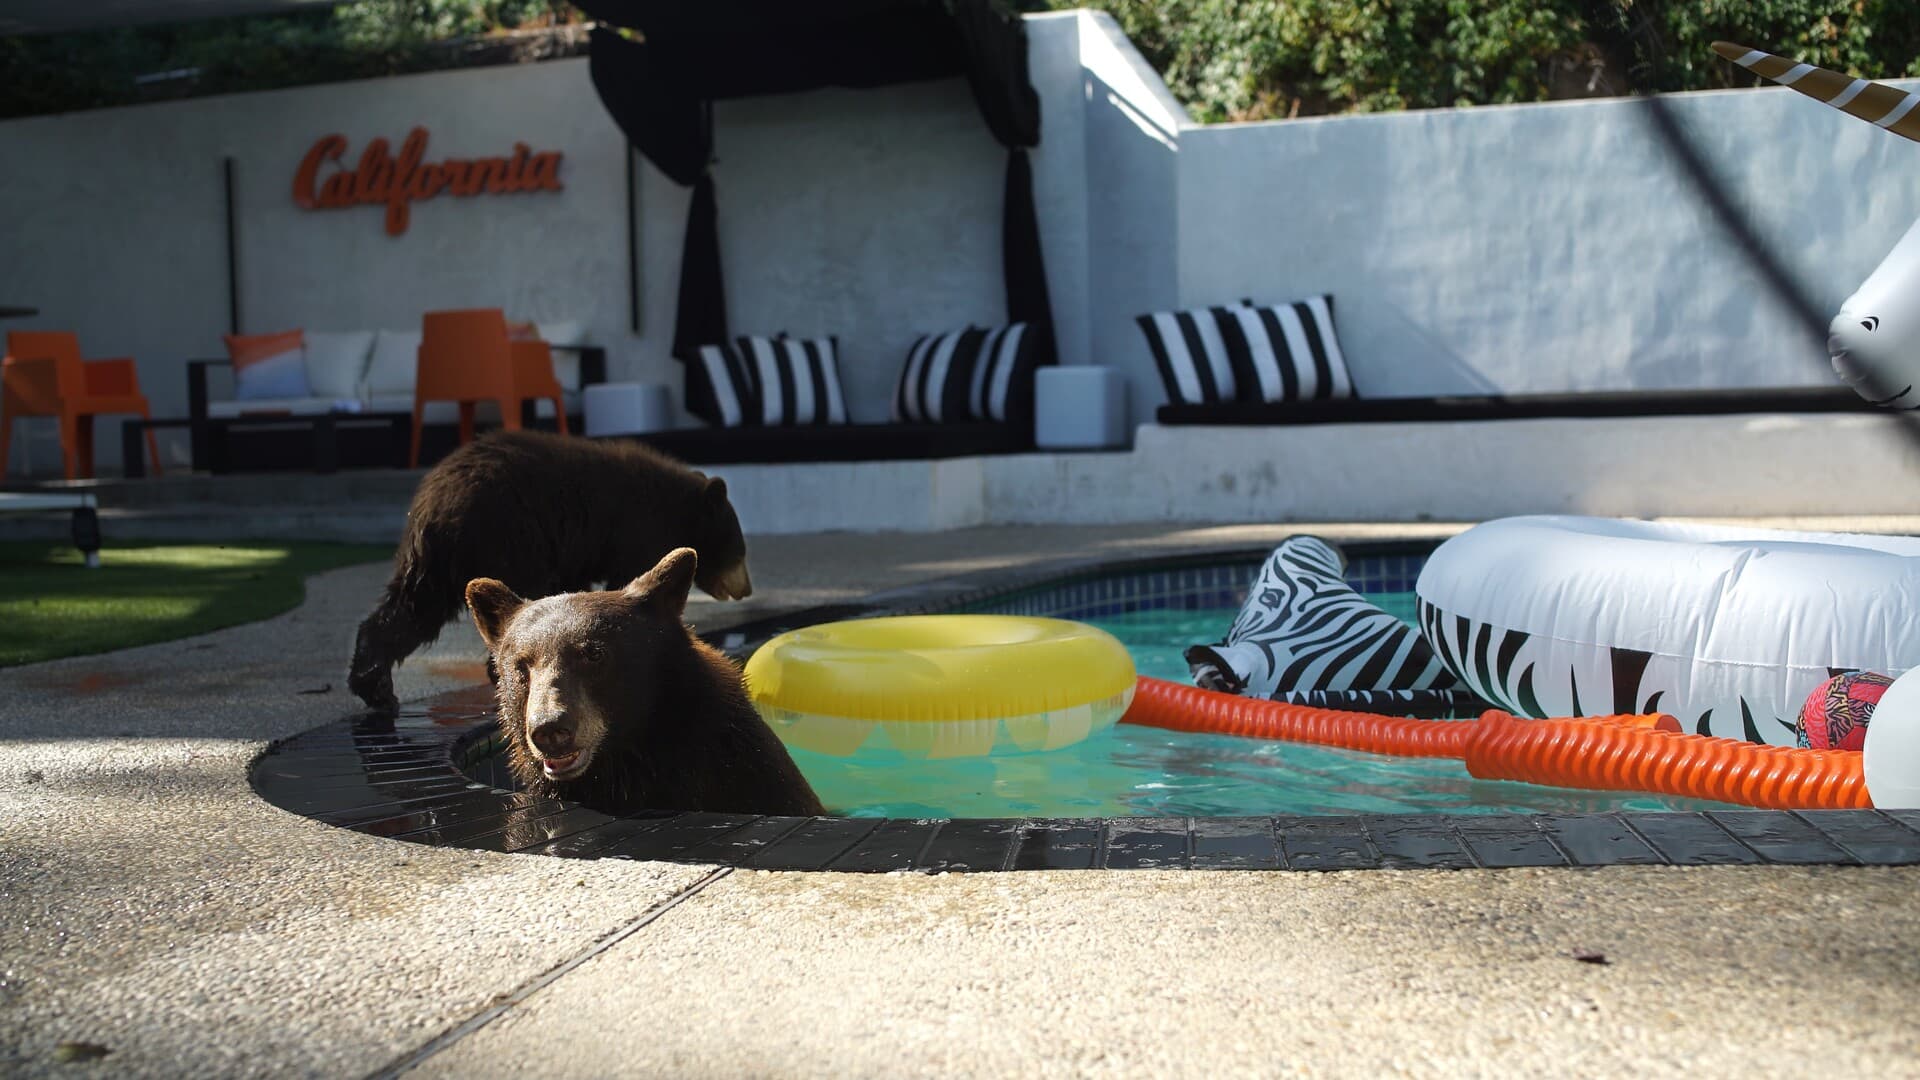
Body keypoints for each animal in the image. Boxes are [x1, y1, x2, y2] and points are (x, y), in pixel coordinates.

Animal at [348, 429, 753, 712]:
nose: (747, 588)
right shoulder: (636, 530)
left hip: (434, 563)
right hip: (510, 540)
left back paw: (375, 686)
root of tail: (436, 507)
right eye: (741, 549)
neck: (676, 509)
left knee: (410, 610)